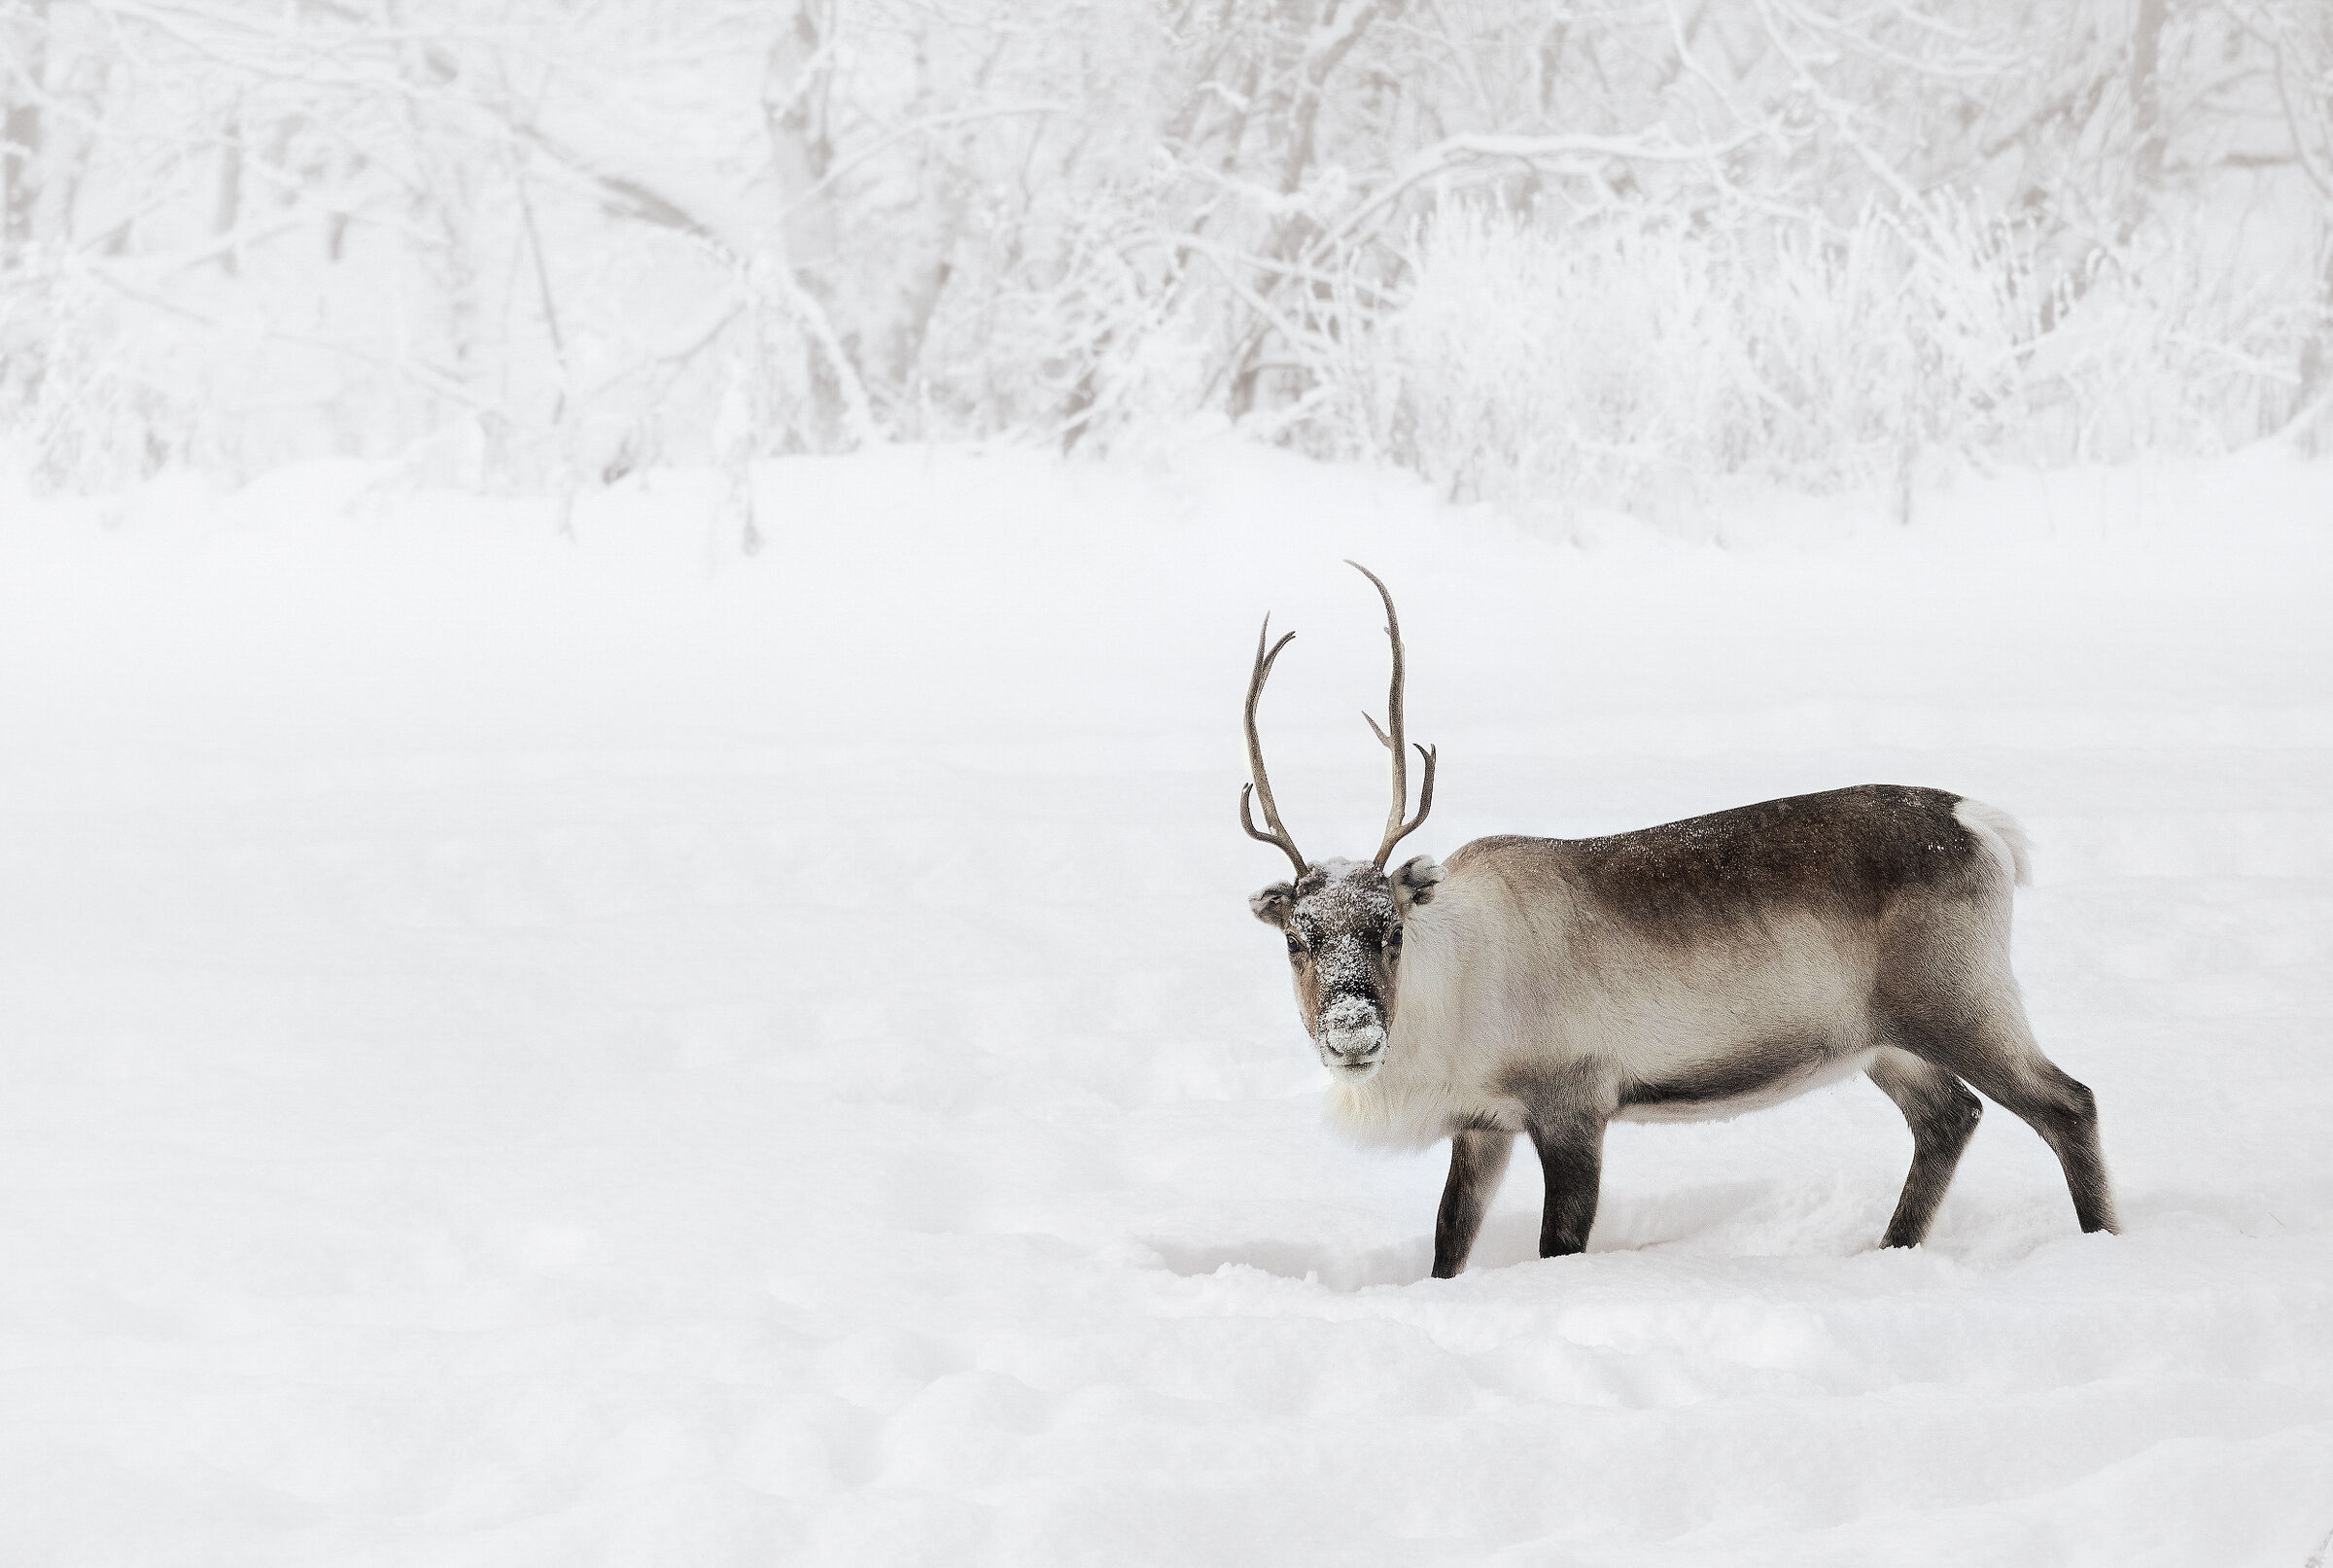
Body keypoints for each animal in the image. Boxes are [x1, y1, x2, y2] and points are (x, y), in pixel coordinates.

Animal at [1242, 563, 2116, 1279]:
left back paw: (2102, 1245)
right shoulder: (1486, 1121)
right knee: (1949, 1117)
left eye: (1390, 930)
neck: (1451, 992)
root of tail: (1982, 824)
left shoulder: (1575, 1102)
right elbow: (1448, 1243)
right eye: (1297, 938)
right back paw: (1891, 1252)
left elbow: (1559, 1244)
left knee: (2068, 1101)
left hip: (1961, 1001)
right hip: (1882, 1039)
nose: (1353, 1031)